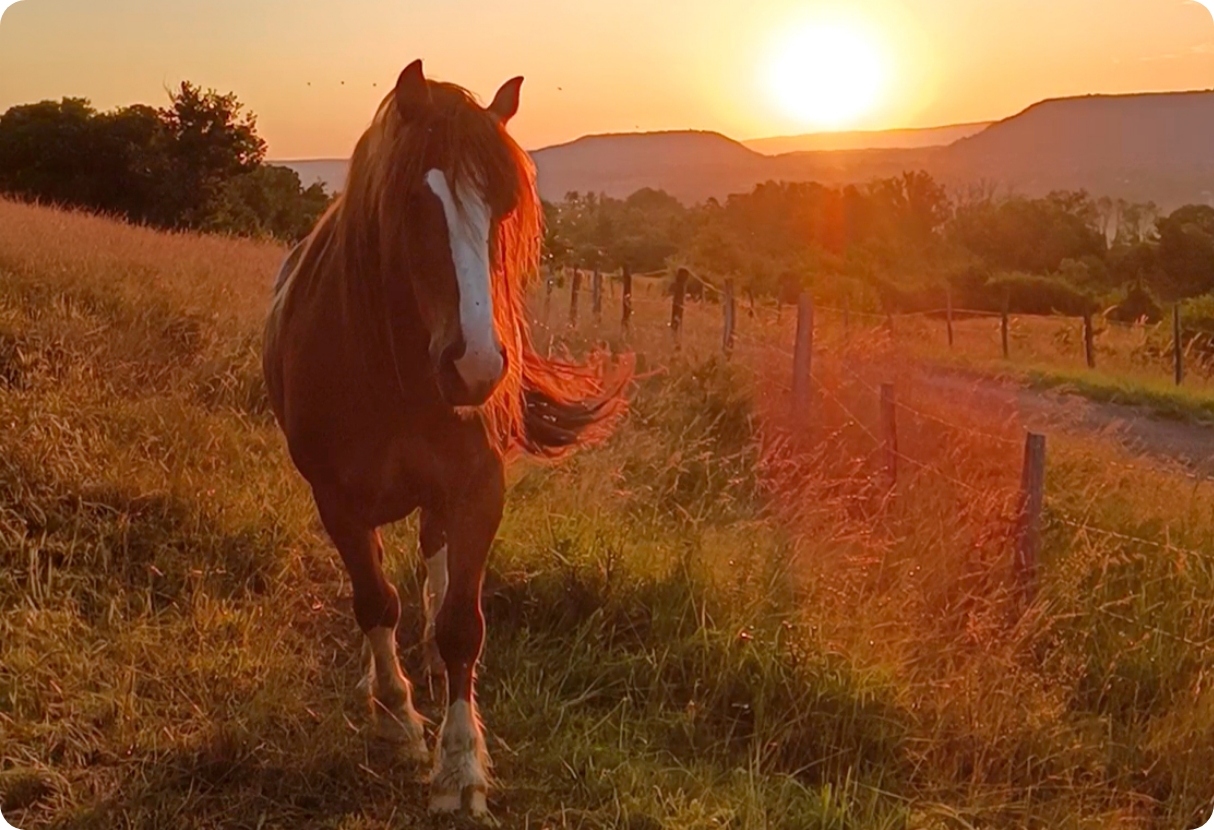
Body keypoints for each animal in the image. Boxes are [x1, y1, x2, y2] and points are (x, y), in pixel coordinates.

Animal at [262, 59, 629, 817]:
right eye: (412, 200)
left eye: (504, 205)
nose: (477, 366)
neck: (392, 372)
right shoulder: (336, 500)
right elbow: (374, 601)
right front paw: (399, 722)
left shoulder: (478, 490)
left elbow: (463, 622)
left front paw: (460, 769)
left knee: (434, 561)